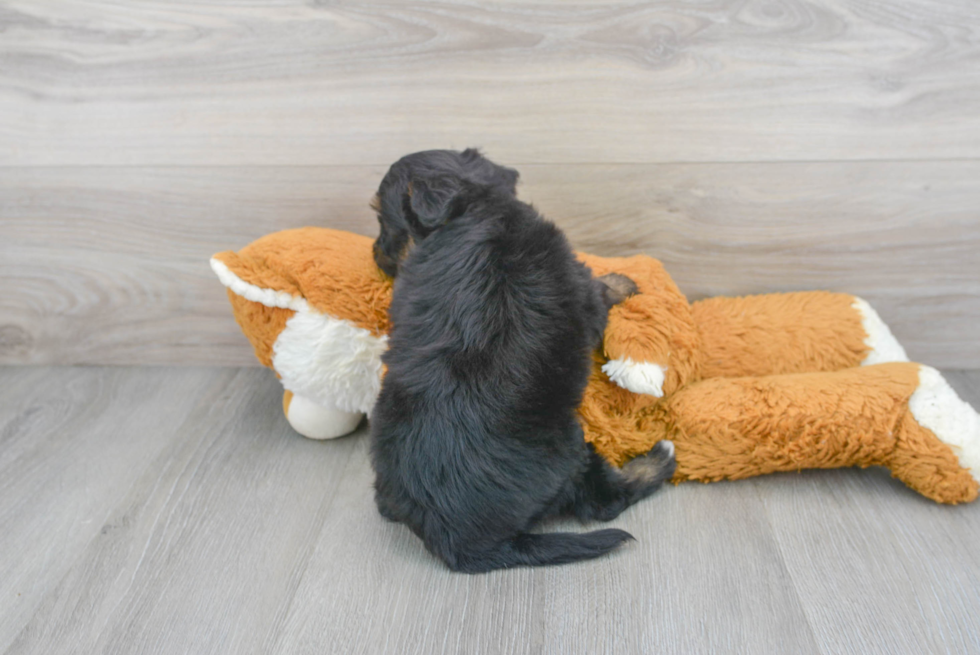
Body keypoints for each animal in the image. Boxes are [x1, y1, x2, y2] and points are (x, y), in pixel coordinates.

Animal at [368, 150, 672, 576]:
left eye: (382, 219)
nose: (375, 255)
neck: (478, 207)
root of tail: (456, 540)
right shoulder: (581, 292)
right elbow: (598, 287)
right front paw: (625, 281)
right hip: (569, 450)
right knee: (602, 500)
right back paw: (658, 460)